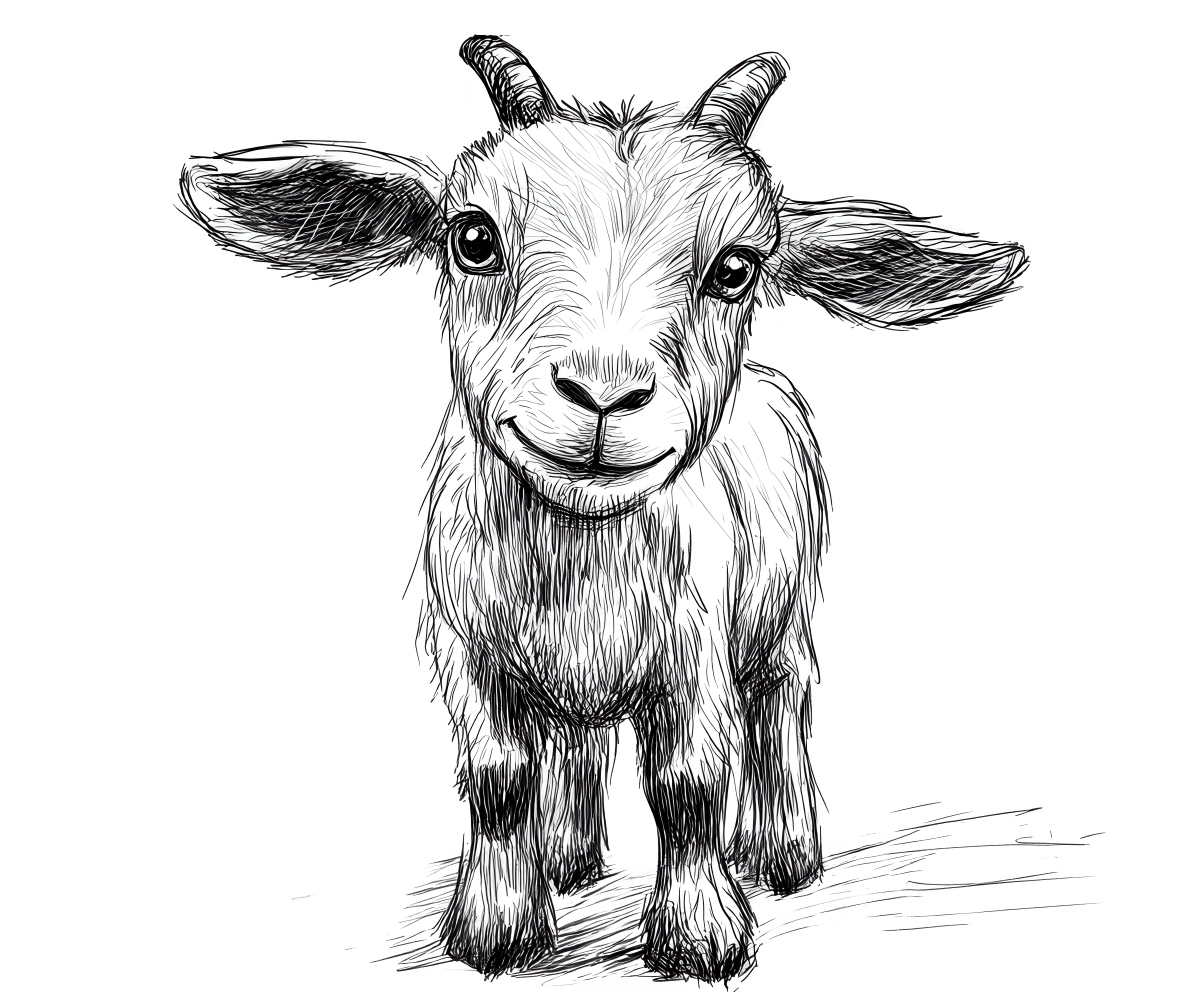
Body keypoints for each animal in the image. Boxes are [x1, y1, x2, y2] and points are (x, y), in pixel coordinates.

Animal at [176, 34, 1031, 983]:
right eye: (472, 238)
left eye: (736, 269)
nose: (604, 394)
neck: (578, 559)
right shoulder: (467, 651)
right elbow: (497, 776)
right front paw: (496, 930)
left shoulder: (694, 658)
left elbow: (689, 784)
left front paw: (699, 936)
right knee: (581, 741)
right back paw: (571, 861)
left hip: (783, 614)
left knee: (781, 705)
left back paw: (782, 855)